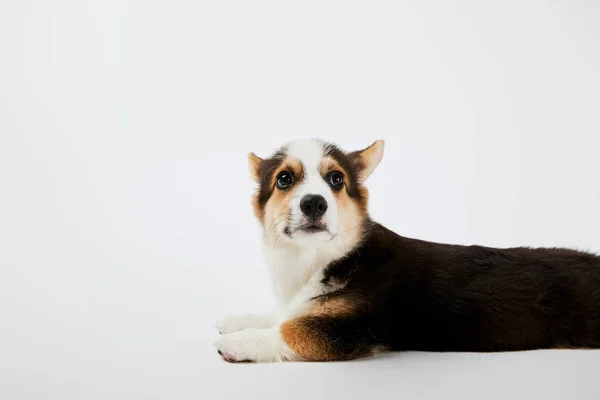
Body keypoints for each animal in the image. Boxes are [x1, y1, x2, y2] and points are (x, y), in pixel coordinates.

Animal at [216, 138, 600, 362]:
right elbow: (281, 314)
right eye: (284, 179)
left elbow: (290, 329)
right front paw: (235, 321)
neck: (320, 257)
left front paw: (240, 342)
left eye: (336, 179)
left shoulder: (353, 327)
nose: (314, 204)